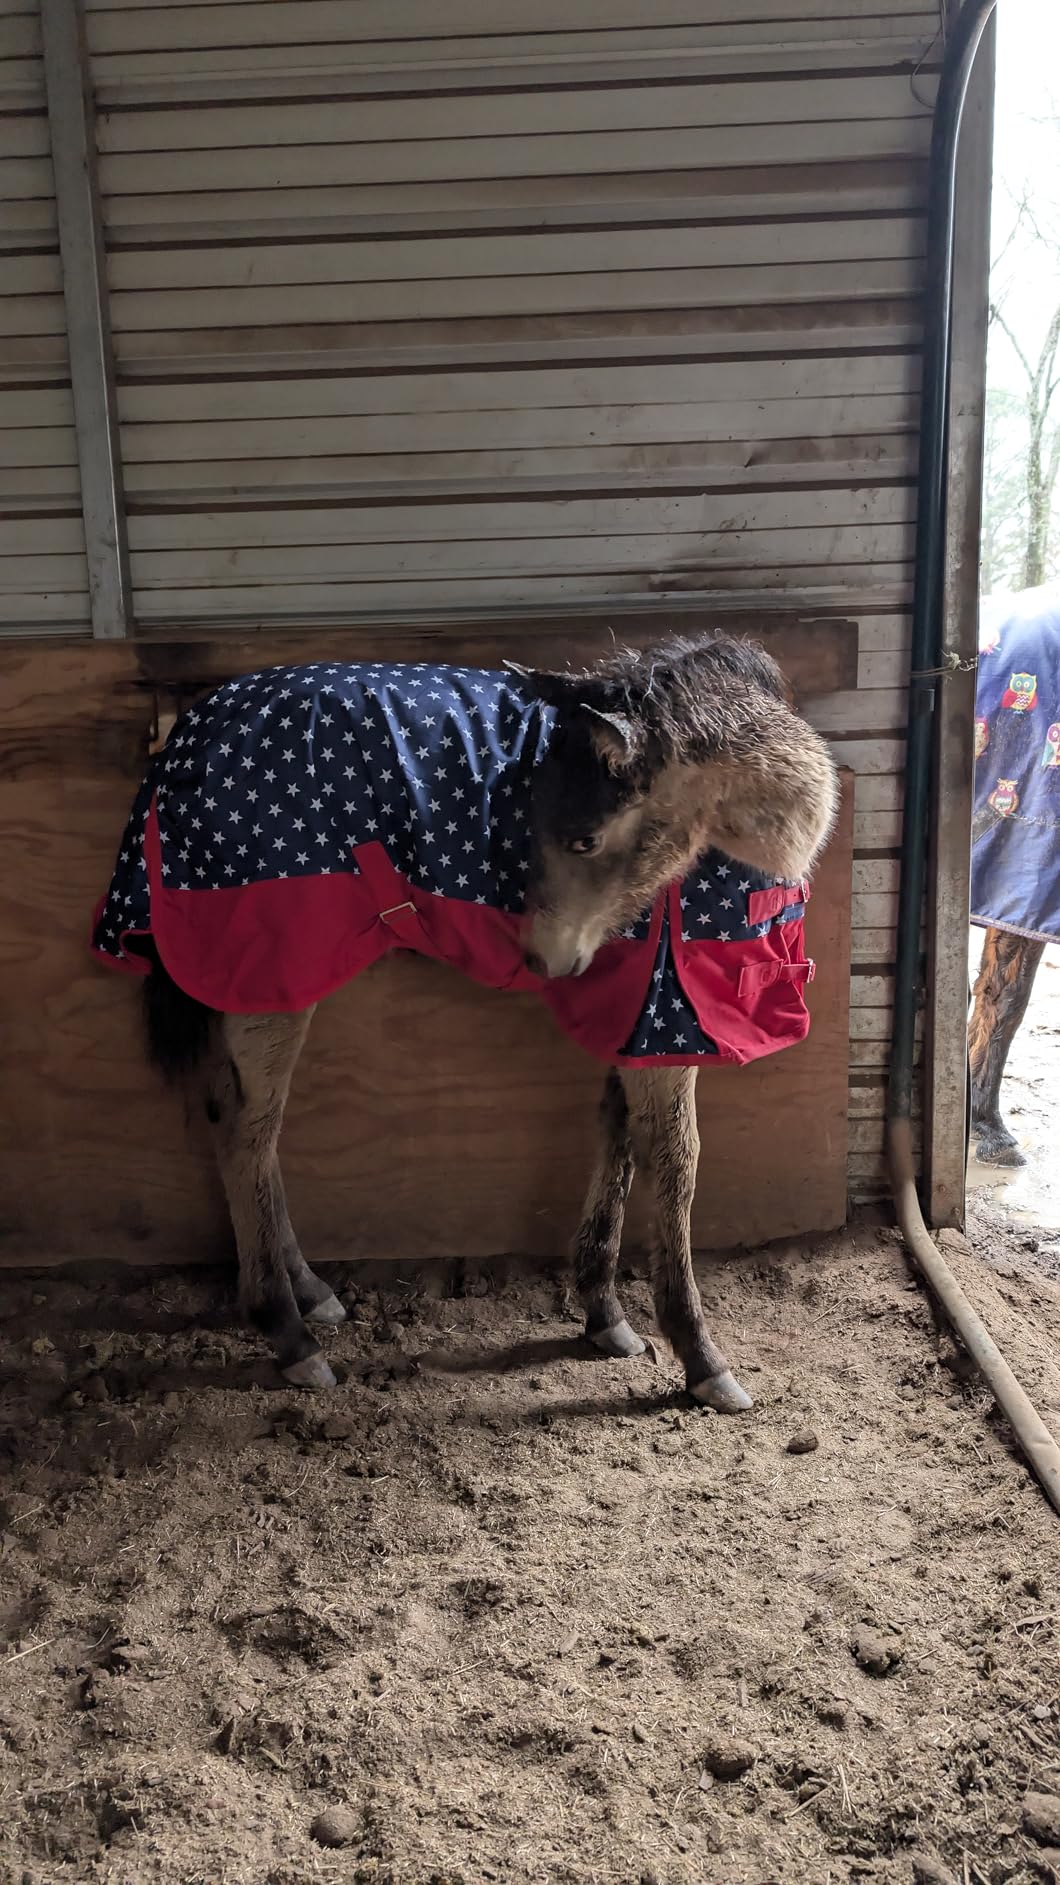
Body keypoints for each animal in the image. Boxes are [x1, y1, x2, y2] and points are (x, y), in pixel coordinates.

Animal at [92, 633, 837, 1410]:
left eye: (584, 838)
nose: (542, 958)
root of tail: (183, 739)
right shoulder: (667, 1016)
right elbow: (676, 1157)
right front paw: (700, 1357)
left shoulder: (635, 1013)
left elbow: (618, 1132)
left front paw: (603, 1314)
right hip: (271, 972)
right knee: (247, 1129)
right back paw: (289, 1334)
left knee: (236, 1121)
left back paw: (311, 1292)